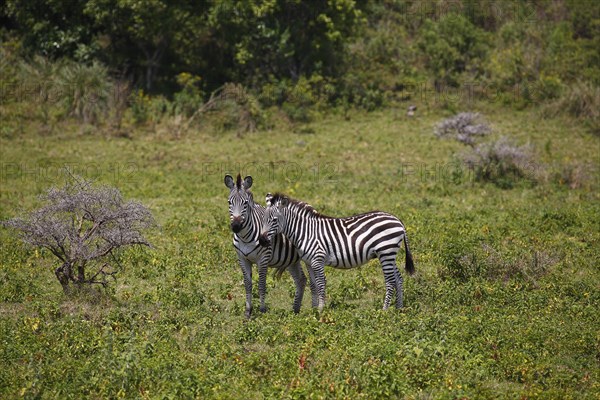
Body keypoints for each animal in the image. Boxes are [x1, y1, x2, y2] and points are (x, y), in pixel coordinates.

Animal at [223, 175, 312, 318]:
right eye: (229, 202)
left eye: (245, 203)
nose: (236, 226)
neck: (245, 237)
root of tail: (302, 202)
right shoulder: (242, 259)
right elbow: (248, 284)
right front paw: (248, 312)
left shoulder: (263, 259)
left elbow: (261, 285)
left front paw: (262, 310)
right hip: (291, 260)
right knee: (301, 280)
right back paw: (295, 310)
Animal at [260, 194, 414, 312]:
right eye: (263, 218)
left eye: (274, 220)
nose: (262, 240)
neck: (306, 232)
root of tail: (397, 220)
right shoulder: (309, 262)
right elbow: (313, 285)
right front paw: (313, 310)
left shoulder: (318, 260)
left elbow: (321, 284)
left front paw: (320, 310)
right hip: (389, 254)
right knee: (398, 279)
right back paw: (399, 309)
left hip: (386, 252)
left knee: (390, 281)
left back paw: (384, 310)